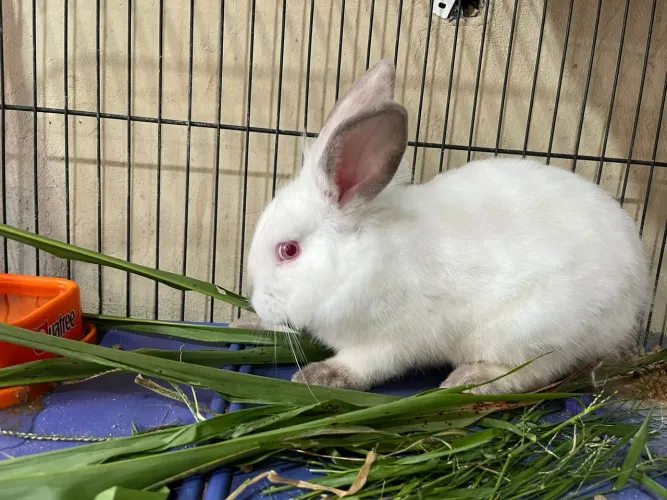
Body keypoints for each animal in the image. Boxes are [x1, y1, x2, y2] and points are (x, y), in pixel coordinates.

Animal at [229, 59, 650, 395]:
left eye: (288, 250)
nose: (256, 300)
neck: (361, 261)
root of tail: (635, 294)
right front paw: (245, 322)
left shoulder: (393, 339)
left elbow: (367, 364)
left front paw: (321, 375)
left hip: (531, 330)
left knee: (536, 369)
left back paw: (470, 381)